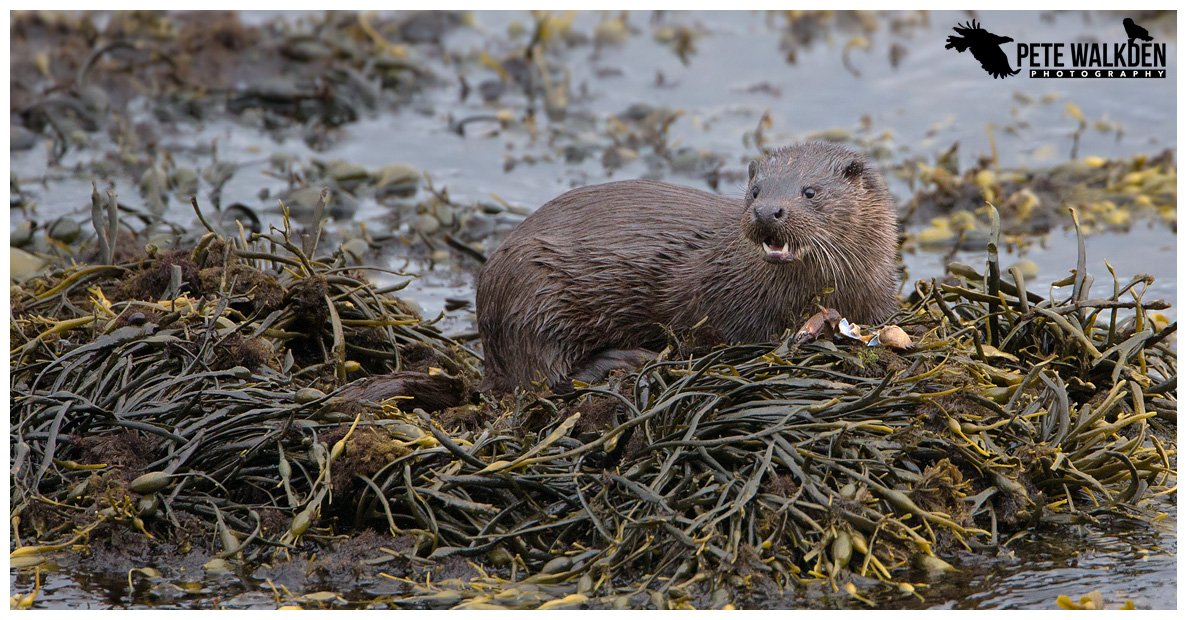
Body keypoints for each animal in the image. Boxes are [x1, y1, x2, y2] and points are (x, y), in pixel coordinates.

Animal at [476, 142, 899, 393]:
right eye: (755, 191)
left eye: (810, 191)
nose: (766, 211)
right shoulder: (729, 305)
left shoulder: (880, 299)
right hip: (533, 296)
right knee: (542, 377)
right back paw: (627, 359)